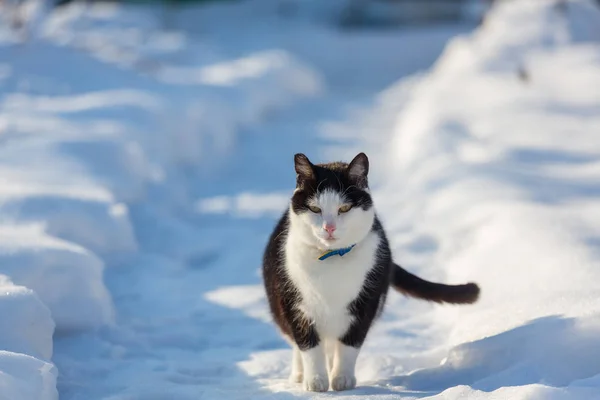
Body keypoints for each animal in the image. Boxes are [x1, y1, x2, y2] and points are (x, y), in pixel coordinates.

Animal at [262, 152, 478, 390]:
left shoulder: (367, 300)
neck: (332, 260)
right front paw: (316, 381)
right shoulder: (294, 303)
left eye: (344, 208)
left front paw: (342, 379)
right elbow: (308, 345)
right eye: (315, 209)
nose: (329, 228)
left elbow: (350, 343)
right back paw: (300, 374)